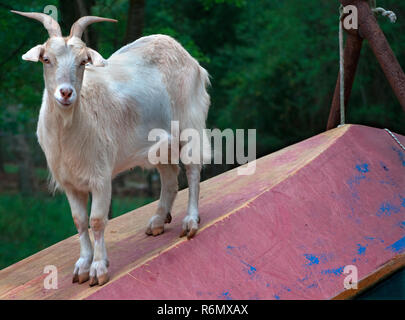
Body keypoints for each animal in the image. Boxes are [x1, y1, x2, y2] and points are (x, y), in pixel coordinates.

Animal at [11, 10, 211, 286]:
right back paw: (158, 221)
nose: (66, 93)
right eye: (46, 59)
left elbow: (96, 221)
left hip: (190, 124)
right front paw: (82, 267)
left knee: (192, 169)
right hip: (161, 146)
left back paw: (191, 222)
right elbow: (79, 221)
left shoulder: (100, 177)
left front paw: (98, 268)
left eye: (83, 61)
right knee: (170, 178)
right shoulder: (70, 183)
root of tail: (188, 57)